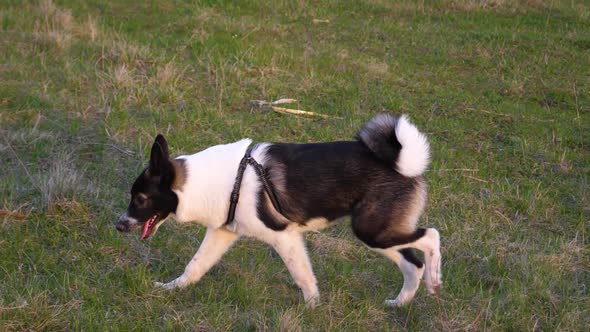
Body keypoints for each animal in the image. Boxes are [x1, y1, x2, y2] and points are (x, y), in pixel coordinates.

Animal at [117, 113, 440, 306]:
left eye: (141, 198)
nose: (118, 225)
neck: (225, 181)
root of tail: (404, 163)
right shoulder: (222, 234)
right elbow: (195, 266)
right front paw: (171, 289)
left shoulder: (284, 237)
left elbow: (303, 276)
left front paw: (312, 308)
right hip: (380, 233)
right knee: (413, 264)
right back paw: (400, 303)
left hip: (372, 230)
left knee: (431, 237)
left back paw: (435, 281)